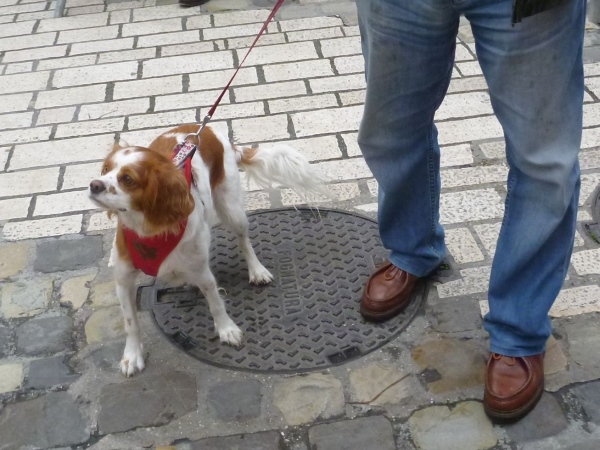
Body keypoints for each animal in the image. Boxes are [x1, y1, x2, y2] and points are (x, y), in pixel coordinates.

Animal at [88, 124, 326, 377]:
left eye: (127, 179)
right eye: (105, 169)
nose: (94, 184)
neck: (149, 229)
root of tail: (205, 128)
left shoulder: (202, 272)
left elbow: (215, 302)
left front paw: (226, 329)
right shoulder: (123, 280)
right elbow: (130, 322)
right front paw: (132, 356)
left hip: (232, 209)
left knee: (244, 241)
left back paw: (257, 270)